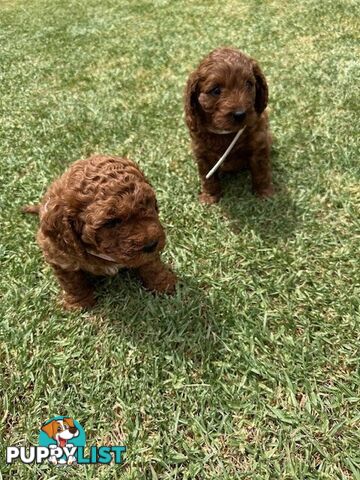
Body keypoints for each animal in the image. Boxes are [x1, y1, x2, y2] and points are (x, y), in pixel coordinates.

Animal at [23, 156, 176, 310]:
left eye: (150, 203)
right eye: (111, 222)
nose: (151, 244)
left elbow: (152, 265)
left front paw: (164, 285)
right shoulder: (59, 257)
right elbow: (72, 282)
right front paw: (79, 303)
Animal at [184, 45, 274, 202]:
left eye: (249, 84)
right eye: (216, 90)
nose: (240, 114)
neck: (226, 132)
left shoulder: (259, 143)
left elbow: (261, 171)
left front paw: (264, 193)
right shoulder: (201, 151)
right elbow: (207, 177)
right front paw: (210, 196)